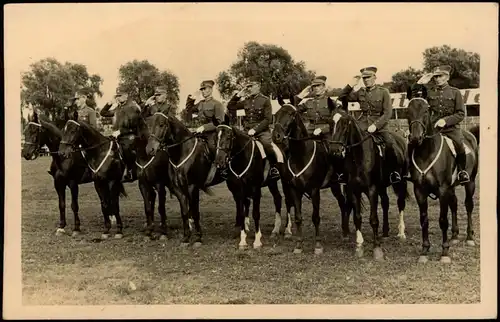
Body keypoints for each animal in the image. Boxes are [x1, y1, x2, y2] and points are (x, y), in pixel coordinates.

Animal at [21, 108, 94, 236]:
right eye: (25, 132)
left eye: (35, 131)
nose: (26, 154)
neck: (63, 158)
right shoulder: (58, 183)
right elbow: (61, 204)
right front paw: (61, 227)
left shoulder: (73, 183)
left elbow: (74, 205)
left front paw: (76, 228)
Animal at [272, 103, 350, 254]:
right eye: (276, 114)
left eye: (292, 114)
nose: (276, 136)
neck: (301, 156)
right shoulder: (295, 190)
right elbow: (298, 217)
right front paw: (298, 245)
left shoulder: (314, 190)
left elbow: (316, 217)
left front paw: (318, 245)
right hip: (334, 185)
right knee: (343, 203)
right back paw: (345, 231)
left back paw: (346, 233)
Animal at [328, 107, 410, 260]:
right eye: (330, 122)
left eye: (345, 124)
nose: (335, 150)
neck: (359, 158)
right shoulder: (354, 190)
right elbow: (357, 217)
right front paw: (359, 246)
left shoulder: (372, 190)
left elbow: (373, 219)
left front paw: (377, 248)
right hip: (382, 187)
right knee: (385, 202)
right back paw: (385, 231)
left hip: (400, 182)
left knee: (400, 203)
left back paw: (401, 232)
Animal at [406, 87, 476, 262]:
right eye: (408, 111)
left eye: (426, 110)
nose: (415, 138)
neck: (426, 153)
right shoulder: (420, 191)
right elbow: (424, 219)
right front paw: (424, 250)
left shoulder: (442, 189)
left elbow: (443, 220)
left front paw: (444, 252)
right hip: (452, 188)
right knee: (455, 204)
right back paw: (454, 236)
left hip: (470, 182)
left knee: (468, 205)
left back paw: (469, 238)